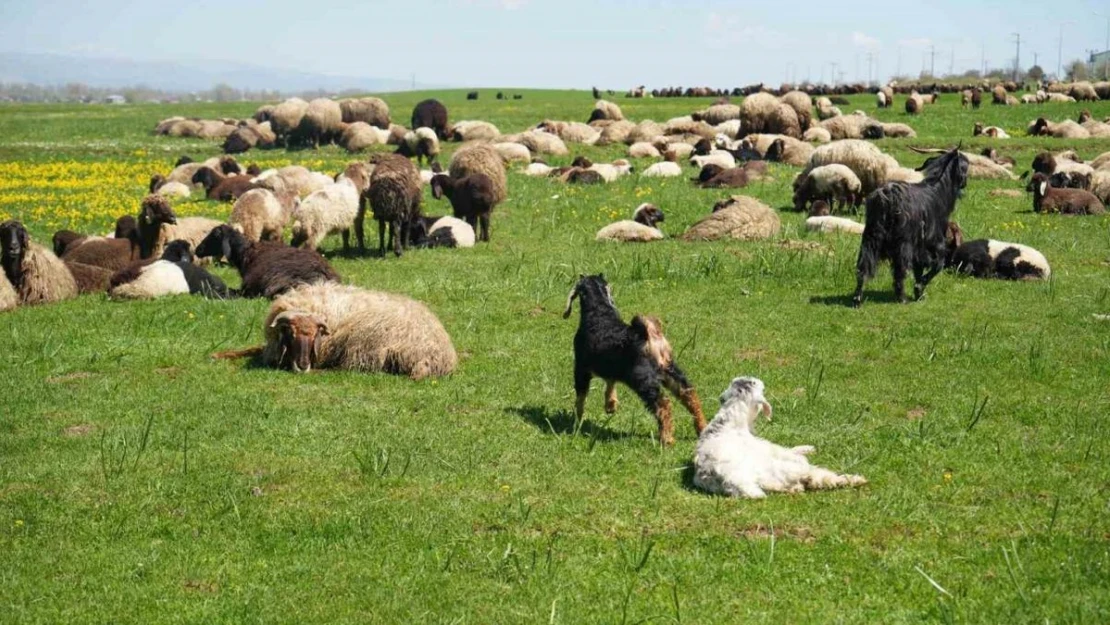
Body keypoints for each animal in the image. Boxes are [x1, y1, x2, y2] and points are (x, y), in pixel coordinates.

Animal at [214, 284, 457, 381]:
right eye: (290, 333)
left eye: (315, 335)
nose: (303, 366)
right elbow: (250, 349)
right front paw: (218, 354)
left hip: (361, 343)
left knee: (345, 369)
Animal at [559, 276, 705, 448]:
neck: (599, 314)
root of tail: (650, 336)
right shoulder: (612, 368)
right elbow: (610, 384)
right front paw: (610, 406)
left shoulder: (581, 369)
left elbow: (581, 397)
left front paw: (577, 420)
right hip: (670, 371)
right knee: (690, 395)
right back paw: (701, 428)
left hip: (643, 379)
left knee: (664, 404)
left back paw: (667, 439)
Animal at [692, 377, 865, 499]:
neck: (729, 420)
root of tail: (730, 479)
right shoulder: (770, 448)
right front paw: (807, 448)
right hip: (786, 468)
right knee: (820, 477)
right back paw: (856, 479)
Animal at [852, 144, 967, 306]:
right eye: (965, 166)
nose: (964, 182)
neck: (938, 192)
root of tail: (888, 197)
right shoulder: (933, 242)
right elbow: (937, 265)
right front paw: (919, 288)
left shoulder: (920, 249)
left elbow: (919, 269)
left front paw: (919, 294)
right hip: (903, 242)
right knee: (900, 270)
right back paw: (902, 298)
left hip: (870, 238)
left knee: (863, 267)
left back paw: (857, 299)